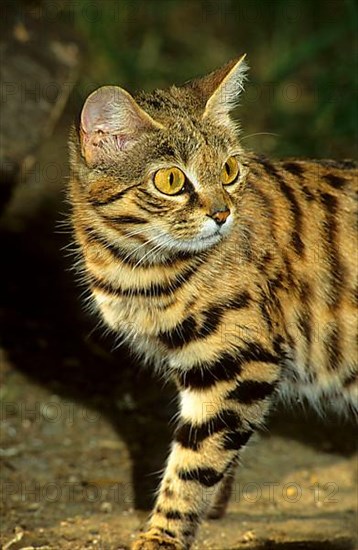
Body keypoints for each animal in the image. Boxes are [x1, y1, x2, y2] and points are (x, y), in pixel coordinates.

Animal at [68, 57, 356, 550]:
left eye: (228, 170)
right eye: (170, 180)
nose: (222, 214)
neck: (134, 265)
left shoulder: (240, 363)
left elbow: (194, 463)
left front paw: (162, 535)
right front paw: (214, 505)